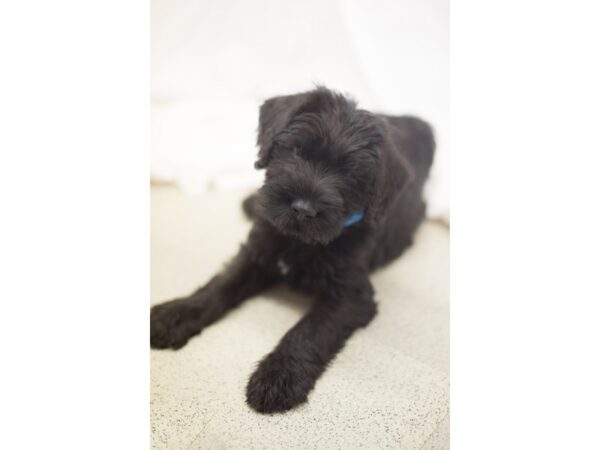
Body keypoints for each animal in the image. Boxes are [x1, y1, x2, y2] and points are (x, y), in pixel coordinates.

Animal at [148, 86, 434, 414]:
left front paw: (278, 375)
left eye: (351, 174)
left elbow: (308, 331)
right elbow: (219, 286)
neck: (300, 241)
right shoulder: (256, 254)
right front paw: (173, 316)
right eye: (297, 151)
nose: (303, 208)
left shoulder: (351, 296)